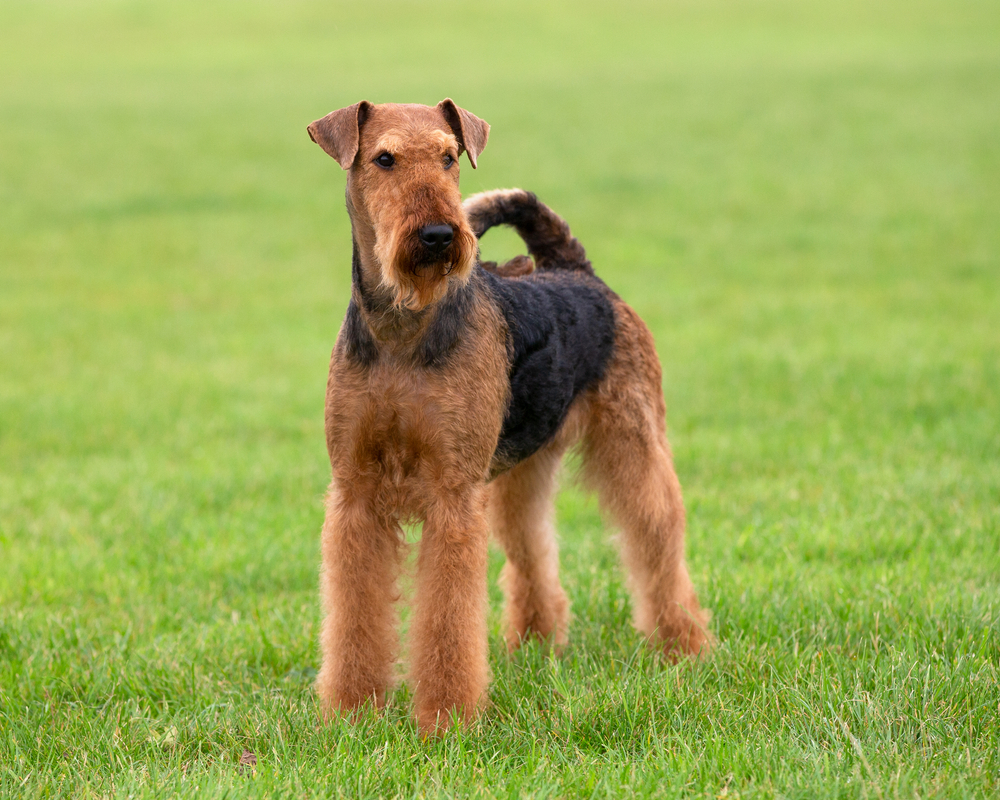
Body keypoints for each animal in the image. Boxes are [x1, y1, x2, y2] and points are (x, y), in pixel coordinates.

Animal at [304, 97, 712, 736]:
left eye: (449, 157)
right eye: (384, 159)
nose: (440, 234)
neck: (402, 331)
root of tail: (576, 270)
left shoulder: (452, 496)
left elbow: (447, 621)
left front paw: (447, 719)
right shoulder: (356, 492)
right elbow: (354, 613)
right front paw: (351, 711)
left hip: (633, 440)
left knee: (657, 539)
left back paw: (682, 646)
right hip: (523, 469)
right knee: (533, 548)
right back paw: (538, 642)